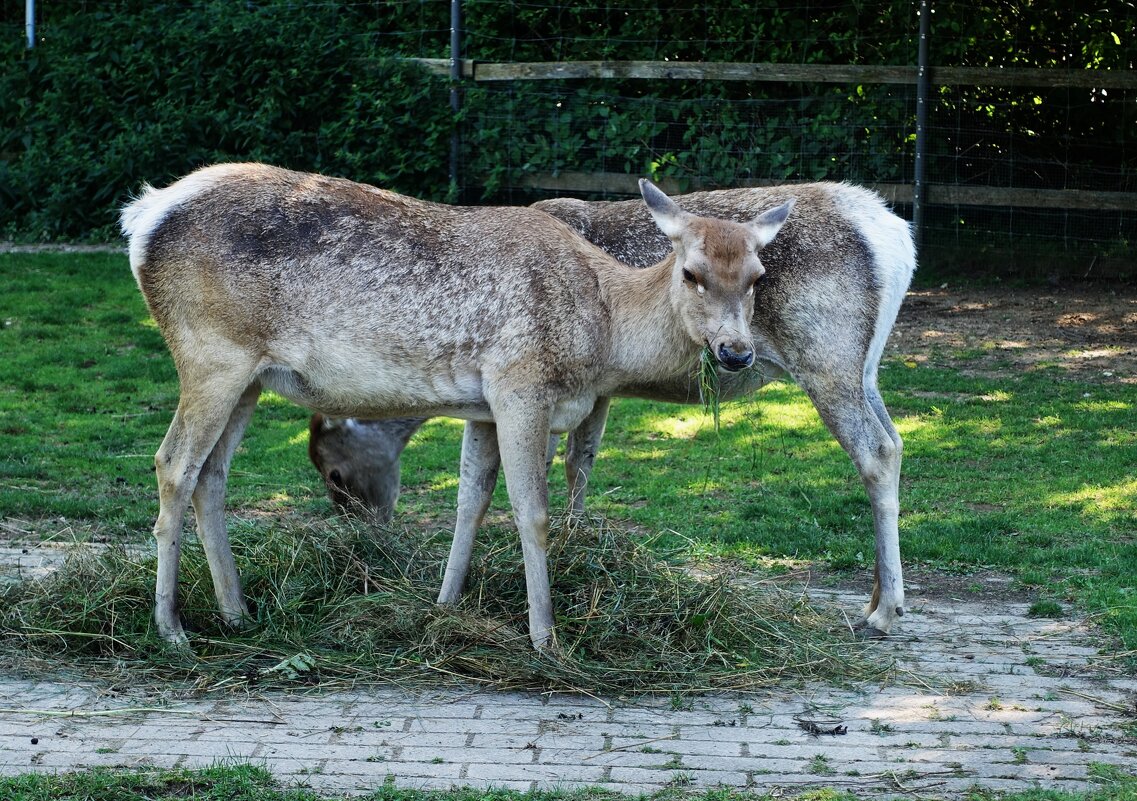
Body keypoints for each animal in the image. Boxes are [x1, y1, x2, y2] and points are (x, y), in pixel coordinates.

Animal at [117, 162, 791, 650]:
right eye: (692, 272)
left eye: (757, 276)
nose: (736, 352)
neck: (602, 333)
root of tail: (141, 216)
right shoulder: (520, 384)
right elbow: (531, 513)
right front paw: (545, 637)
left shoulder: (483, 406)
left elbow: (470, 502)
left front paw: (444, 606)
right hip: (210, 353)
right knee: (173, 464)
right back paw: (171, 630)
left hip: (251, 377)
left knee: (211, 474)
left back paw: (237, 613)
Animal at [309, 183, 914, 637]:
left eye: (333, 471)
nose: (368, 529)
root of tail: (897, 238)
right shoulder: (600, 388)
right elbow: (583, 461)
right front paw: (578, 546)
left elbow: (555, 465)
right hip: (865, 366)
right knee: (897, 439)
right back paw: (876, 598)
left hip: (825, 354)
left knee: (877, 450)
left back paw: (885, 611)